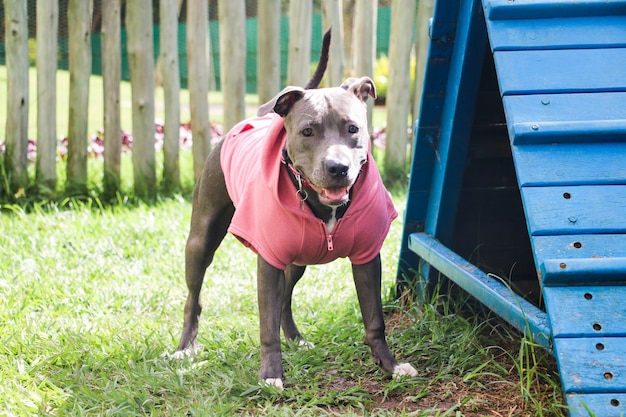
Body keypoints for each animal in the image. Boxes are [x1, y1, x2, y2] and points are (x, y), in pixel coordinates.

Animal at [173, 30, 414, 388]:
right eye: (308, 131)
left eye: (353, 128)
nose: (338, 168)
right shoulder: (268, 262)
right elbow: (266, 325)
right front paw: (271, 374)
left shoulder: (367, 258)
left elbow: (374, 320)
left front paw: (390, 365)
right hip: (200, 241)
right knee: (194, 297)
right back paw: (184, 348)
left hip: (299, 259)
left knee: (285, 297)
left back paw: (296, 339)